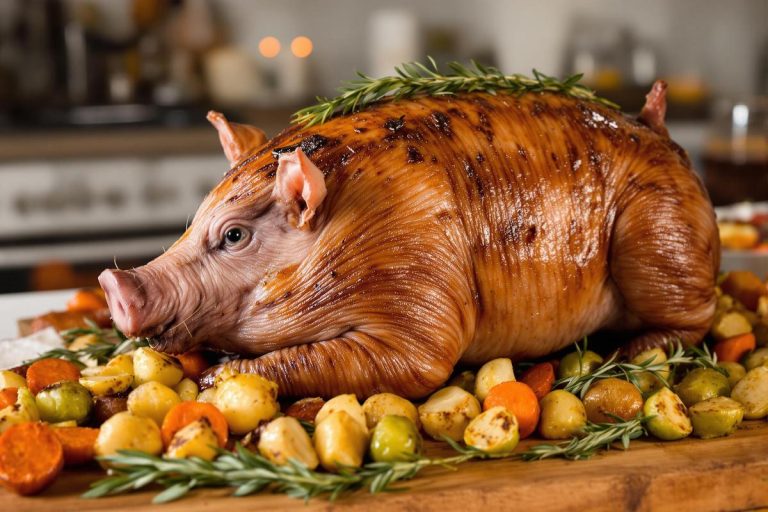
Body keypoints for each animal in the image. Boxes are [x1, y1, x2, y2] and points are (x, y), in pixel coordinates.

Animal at [99, 82, 719, 399]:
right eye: (189, 222)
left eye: (233, 235)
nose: (113, 281)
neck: (352, 232)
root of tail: (659, 130)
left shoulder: (417, 291)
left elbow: (415, 366)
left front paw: (215, 377)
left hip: (661, 235)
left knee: (693, 318)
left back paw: (629, 353)